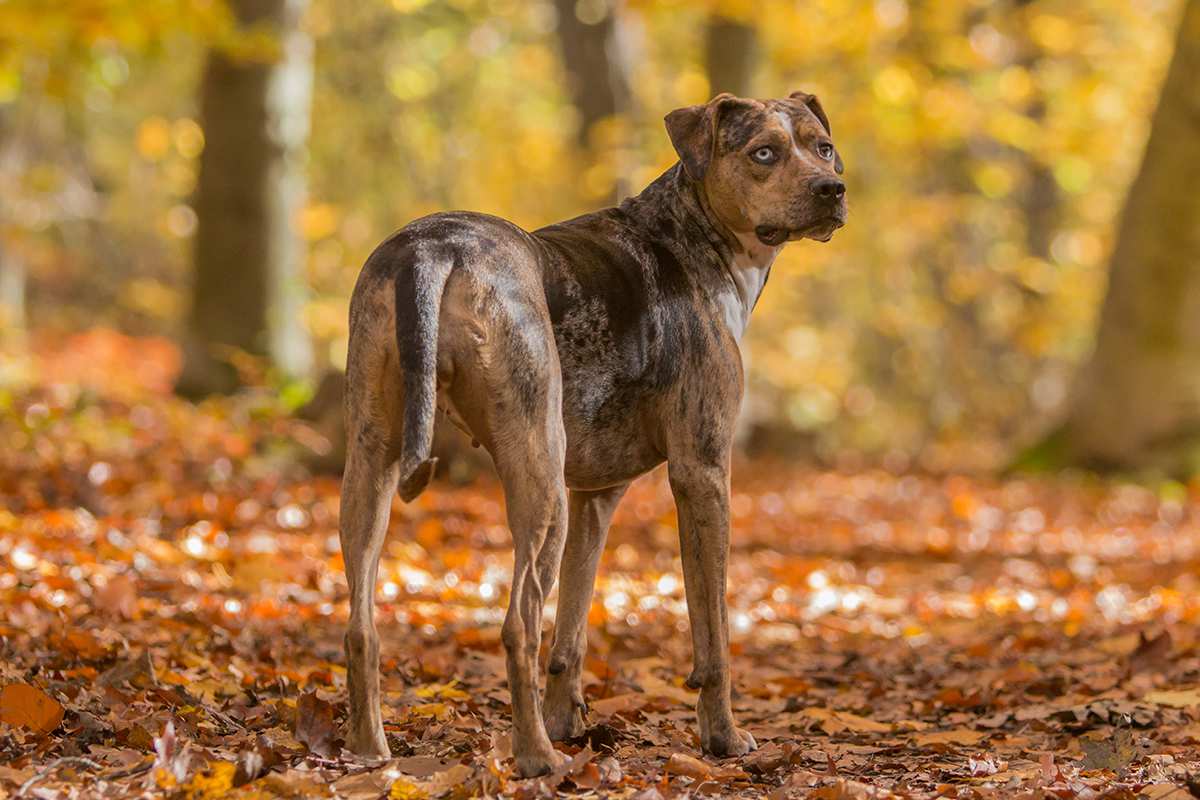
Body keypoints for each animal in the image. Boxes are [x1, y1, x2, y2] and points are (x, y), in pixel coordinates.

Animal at [338, 89, 844, 777]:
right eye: (764, 153)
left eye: (822, 146)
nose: (832, 188)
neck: (695, 235)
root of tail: (434, 248)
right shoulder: (704, 474)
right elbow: (712, 631)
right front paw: (723, 737)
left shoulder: (596, 496)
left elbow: (572, 629)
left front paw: (568, 720)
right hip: (539, 475)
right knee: (519, 622)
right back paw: (535, 757)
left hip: (373, 463)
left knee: (361, 626)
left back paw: (373, 752)